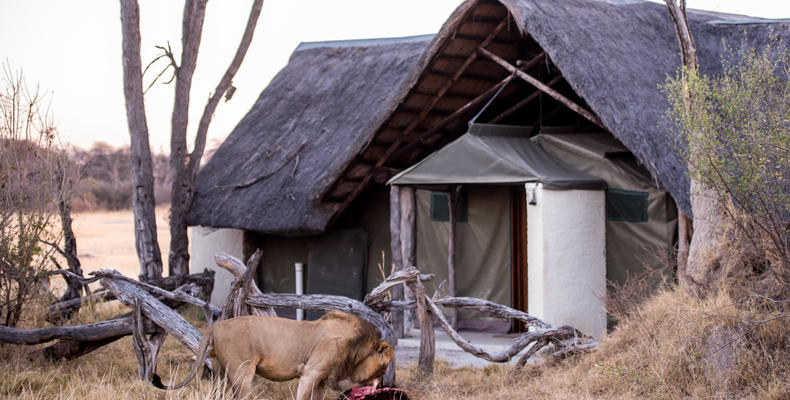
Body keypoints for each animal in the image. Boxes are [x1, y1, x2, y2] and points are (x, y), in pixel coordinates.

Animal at [152, 310, 396, 398]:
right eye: (384, 367)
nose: (381, 382)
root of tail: (216, 326)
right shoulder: (310, 372)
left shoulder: (320, 379)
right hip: (241, 371)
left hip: (220, 371)